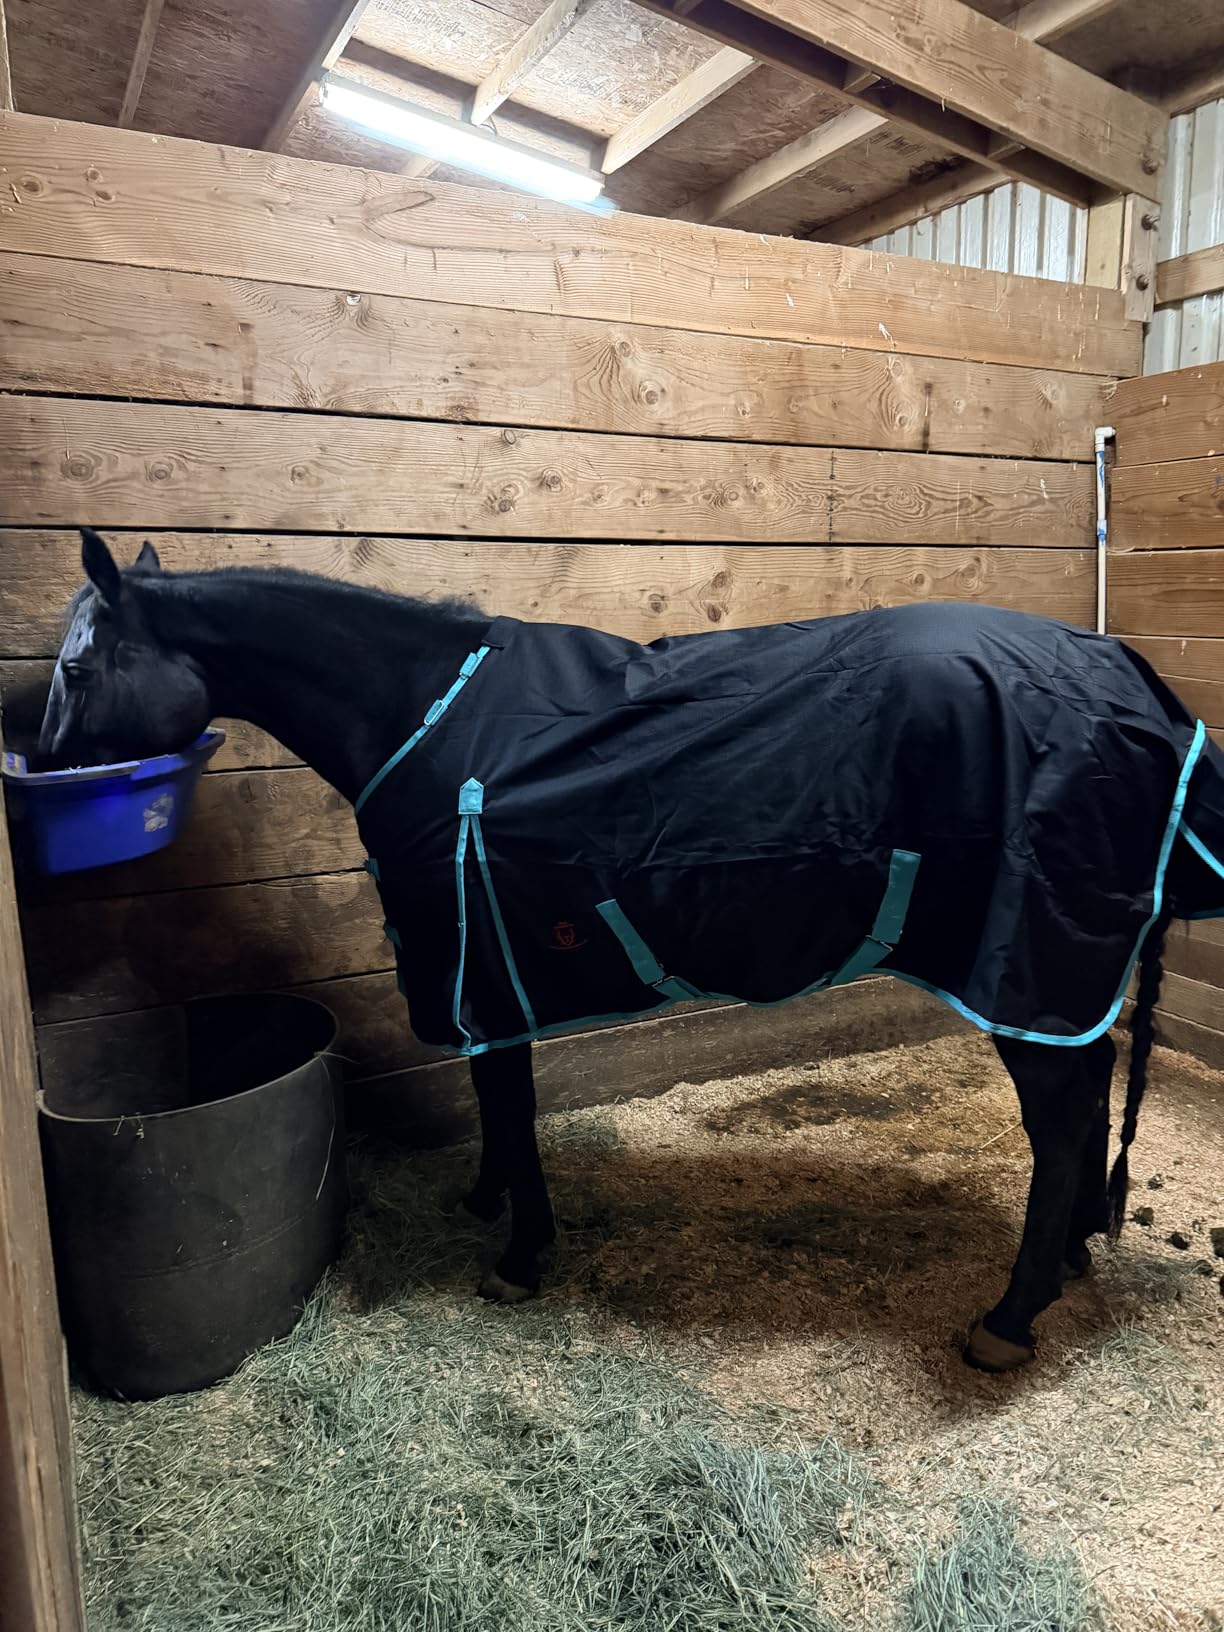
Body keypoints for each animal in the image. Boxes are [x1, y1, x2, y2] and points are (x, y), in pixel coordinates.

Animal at [36, 529, 1224, 1372]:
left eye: (78, 670)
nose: (38, 775)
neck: (423, 715)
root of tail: (1126, 677)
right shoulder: (483, 969)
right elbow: (495, 1098)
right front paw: (487, 1202)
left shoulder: (483, 960)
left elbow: (510, 1101)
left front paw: (519, 1253)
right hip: (1066, 973)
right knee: (1088, 1091)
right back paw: (1072, 1250)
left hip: (1026, 968)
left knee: (1061, 1120)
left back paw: (1012, 1315)